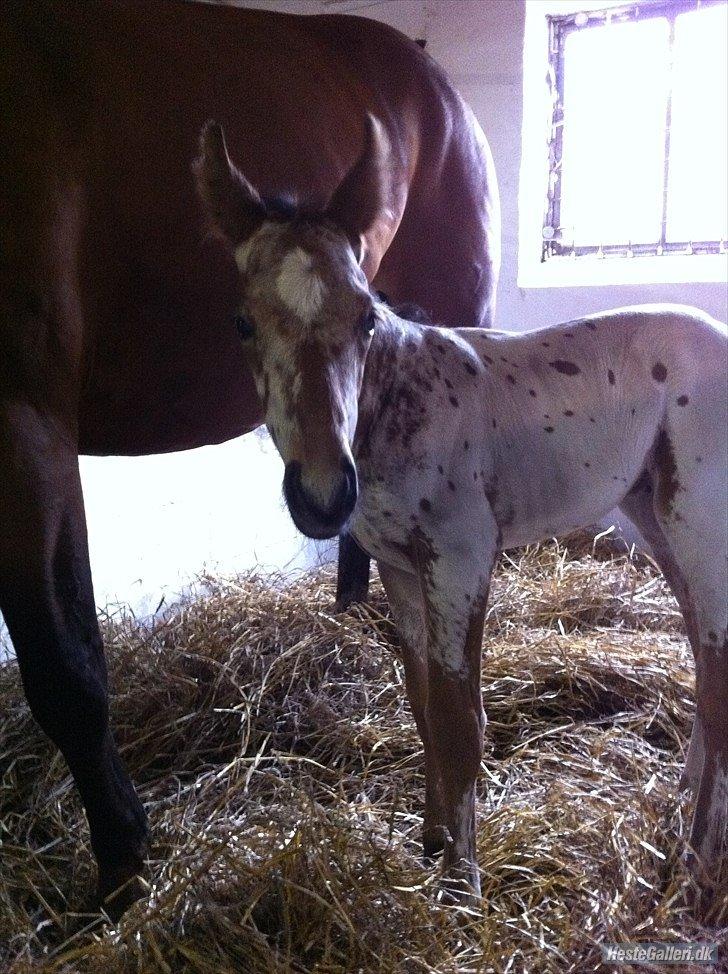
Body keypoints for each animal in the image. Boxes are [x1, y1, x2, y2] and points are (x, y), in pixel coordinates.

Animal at [195, 120, 728, 908]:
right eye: (242, 323)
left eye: (366, 317)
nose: (323, 495)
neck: (396, 409)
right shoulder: (397, 567)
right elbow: (422, 706)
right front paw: (431, 840)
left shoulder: (461, 559)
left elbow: (459, 722)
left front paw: (462, 886)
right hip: (654, 516)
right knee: (699, 648)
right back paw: (680, 810)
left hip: (700, 522)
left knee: (717, 668)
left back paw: (691, 867)